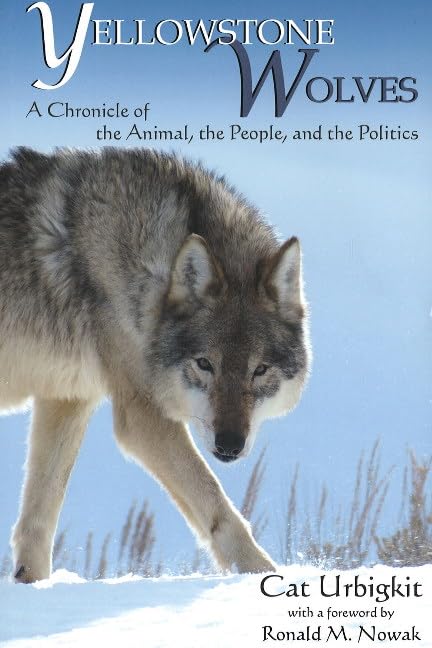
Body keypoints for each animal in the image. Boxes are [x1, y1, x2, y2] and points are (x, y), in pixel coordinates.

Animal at [0, 147, 311, 583]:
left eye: (259, 370)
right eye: (205, 364)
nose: (229, 444)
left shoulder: (67, 397)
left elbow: (38, 520)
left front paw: (32, 584)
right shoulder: (143, 417)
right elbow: (218, 505)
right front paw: (261, 576)